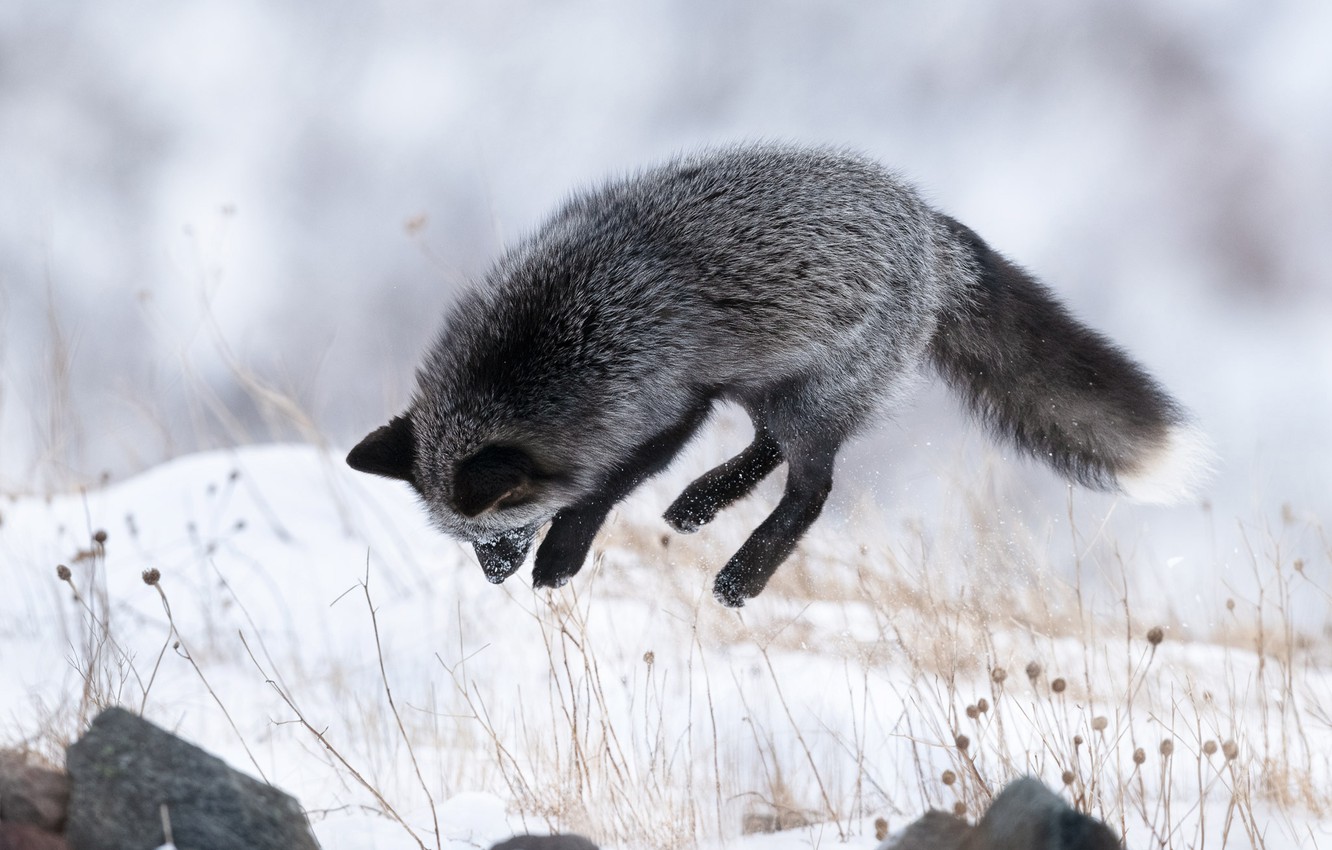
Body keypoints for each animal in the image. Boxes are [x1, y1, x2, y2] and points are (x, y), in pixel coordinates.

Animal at [348, 144, 1213, 607]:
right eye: (461, 540)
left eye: (499, 533)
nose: (494, 578)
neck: (560, 331)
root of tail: (933, 229)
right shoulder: (693, 394)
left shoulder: (669, 402)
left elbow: (603, 486)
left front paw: (563, 559)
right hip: (770, 384)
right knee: (769, 451)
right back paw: (698, 508)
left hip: (811, 400)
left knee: (811, 490)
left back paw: (742, 576)